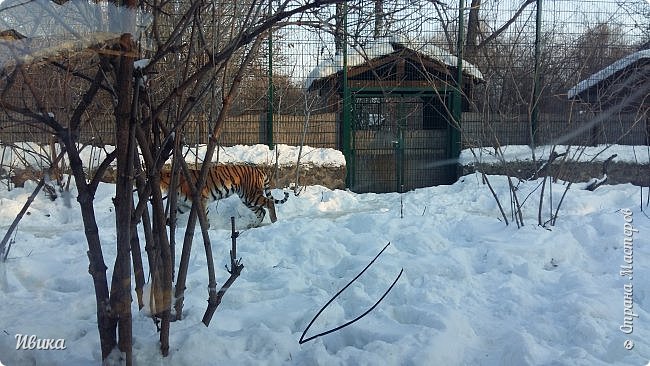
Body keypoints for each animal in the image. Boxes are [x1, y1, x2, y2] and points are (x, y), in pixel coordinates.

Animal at [158, 165, 288, 226]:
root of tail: (259, 170)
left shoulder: (200, 201)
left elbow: (204, 219)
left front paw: (206, 229)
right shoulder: (183, 205)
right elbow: (171, 215)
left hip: (251, 195)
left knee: (270, 203)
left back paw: (274, 221)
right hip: (246, 199)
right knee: (261, 211)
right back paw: (252, 225)